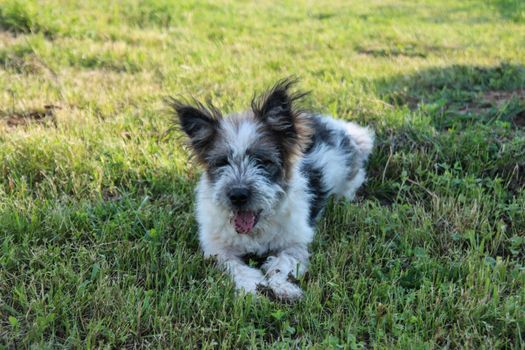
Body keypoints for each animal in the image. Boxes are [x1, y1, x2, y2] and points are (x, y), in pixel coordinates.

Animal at [169, 79, 372, 300]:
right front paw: (252, 289)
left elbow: (284, 263)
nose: (237, 195)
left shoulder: (295, 242)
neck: (256, 230)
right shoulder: (217, 249)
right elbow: (236, 267)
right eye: (222, 162)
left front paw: (284, 287)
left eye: (262, 161)